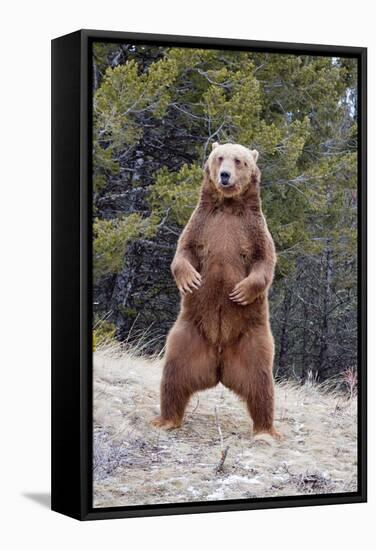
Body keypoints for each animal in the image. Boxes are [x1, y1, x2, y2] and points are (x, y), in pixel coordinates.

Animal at [152, 141, 280, 440]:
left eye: (239, 160)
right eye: (219, 158)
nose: (224, 175)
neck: (228, 206)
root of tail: (219, 368)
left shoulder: (254, 230)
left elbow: (264, 261)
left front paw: (241, 291)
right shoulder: (201, 224)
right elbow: (183, 251)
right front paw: (190, 280)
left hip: (252, 339)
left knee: (260, 385)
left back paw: (265, 431)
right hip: (188, 335)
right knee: (173, 376)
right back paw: (166, 420)